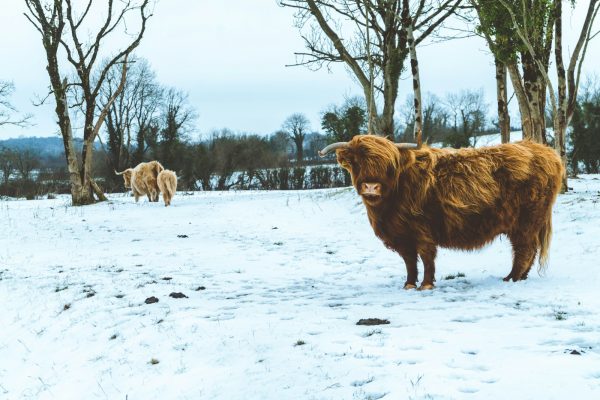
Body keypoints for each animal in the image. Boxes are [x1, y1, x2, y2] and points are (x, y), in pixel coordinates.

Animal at [322, 135, 564, 290]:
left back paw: (511, 278)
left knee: (524, 249)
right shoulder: (402, 235)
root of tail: (544, 150)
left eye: (389, 166)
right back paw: (520, 278)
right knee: (529, 250)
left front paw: (426, 284)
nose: (371, 187)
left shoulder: (422, 230)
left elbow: (426, 257)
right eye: (357, 162)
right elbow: (409, 261)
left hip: (526, 221)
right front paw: (409, 284)